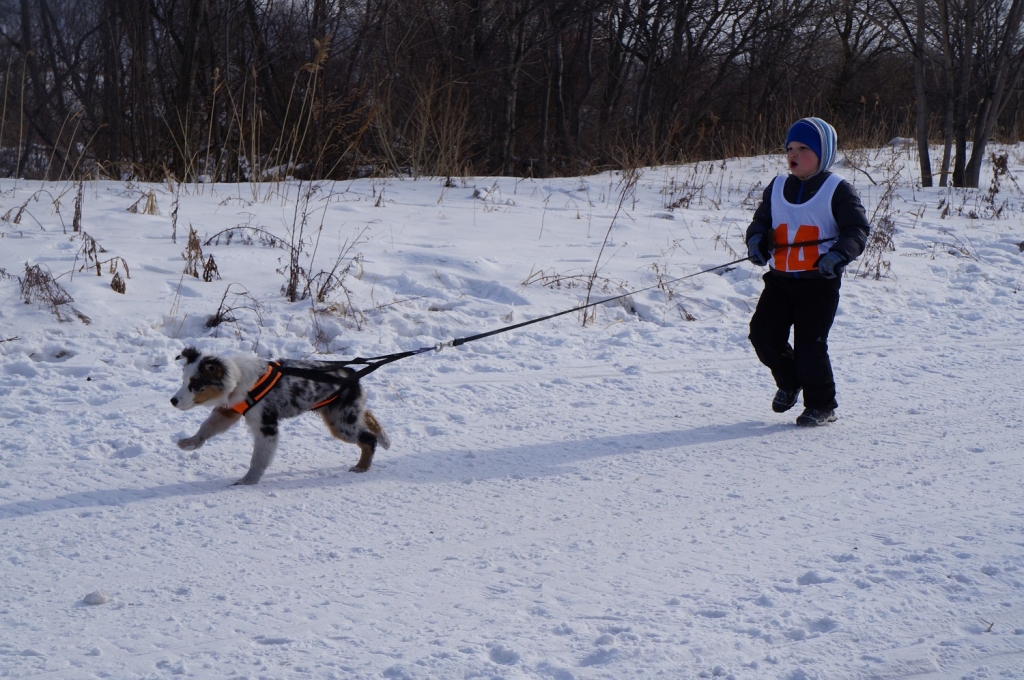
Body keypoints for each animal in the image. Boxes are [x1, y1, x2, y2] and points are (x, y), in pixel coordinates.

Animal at [169, 348, 389, 485]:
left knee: (368, 438)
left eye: (196, 384)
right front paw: (190, 442)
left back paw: (362, 466)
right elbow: (207, 426)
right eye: (184, 380)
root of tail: (351, 372)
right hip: (342, 412)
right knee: (368, 415)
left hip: (341, 422)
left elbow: (258, 458)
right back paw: (384, 438)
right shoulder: (229, 411)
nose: (173, 401)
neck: (239, 378)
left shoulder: (265, 426)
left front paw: (248, 480)